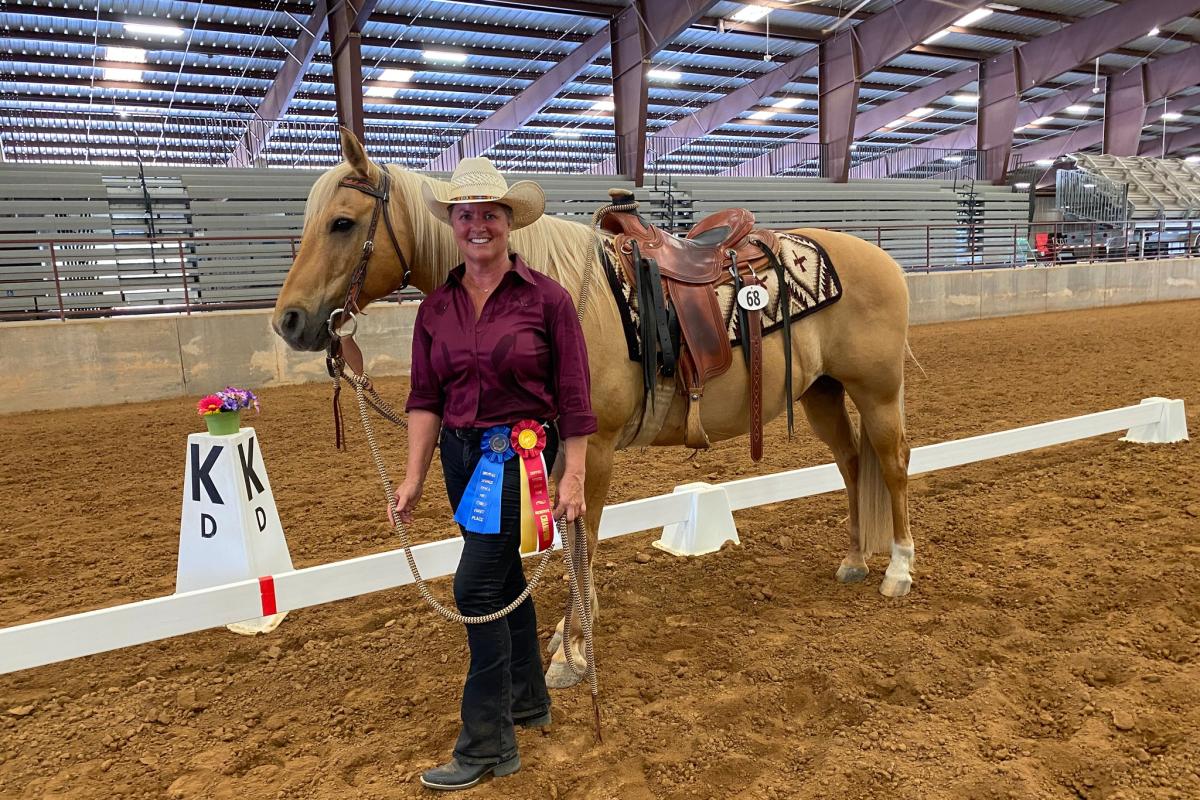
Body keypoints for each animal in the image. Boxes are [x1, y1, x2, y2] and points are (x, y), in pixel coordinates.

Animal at [272, 129, 913, 689]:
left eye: (342, 223)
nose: (289, 321)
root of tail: (884, 261)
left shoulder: (595, 447)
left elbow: (584, 537)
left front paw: (573, 649)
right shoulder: (553, 445)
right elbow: (570, 538)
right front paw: (570, 629)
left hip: (878, 394)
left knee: (893, 465)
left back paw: (898, 570)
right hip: (822, 393)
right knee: (852, 465)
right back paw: (855, 560)